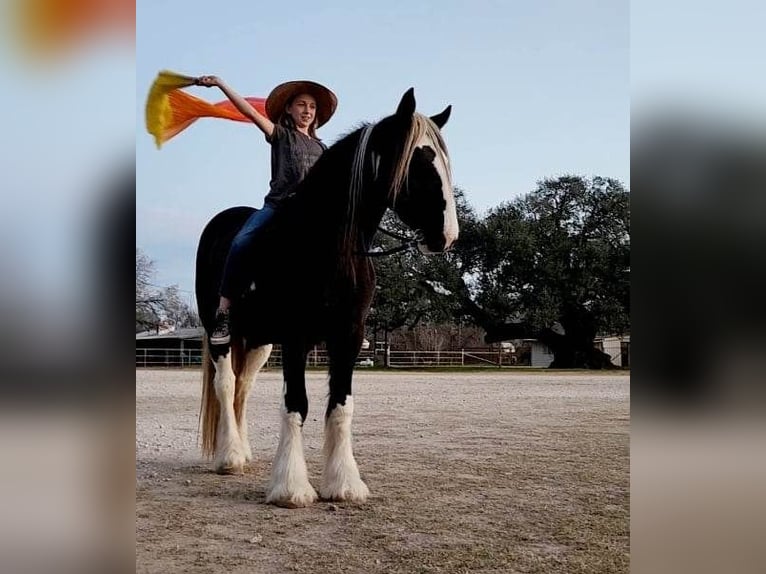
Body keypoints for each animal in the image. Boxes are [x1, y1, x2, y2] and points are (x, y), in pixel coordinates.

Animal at [196, 89, 456, 508]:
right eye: (419, 162)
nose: (446, 235)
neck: (327, 245)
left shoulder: (348, 336)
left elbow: (340, 405)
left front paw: (343, 484)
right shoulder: (296, 337)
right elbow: (296, 404)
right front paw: (291, 488)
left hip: (258, 342)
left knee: (242, 388)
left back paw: (243, 453)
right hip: (221, 334)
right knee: (225, 384)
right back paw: (229, 458)